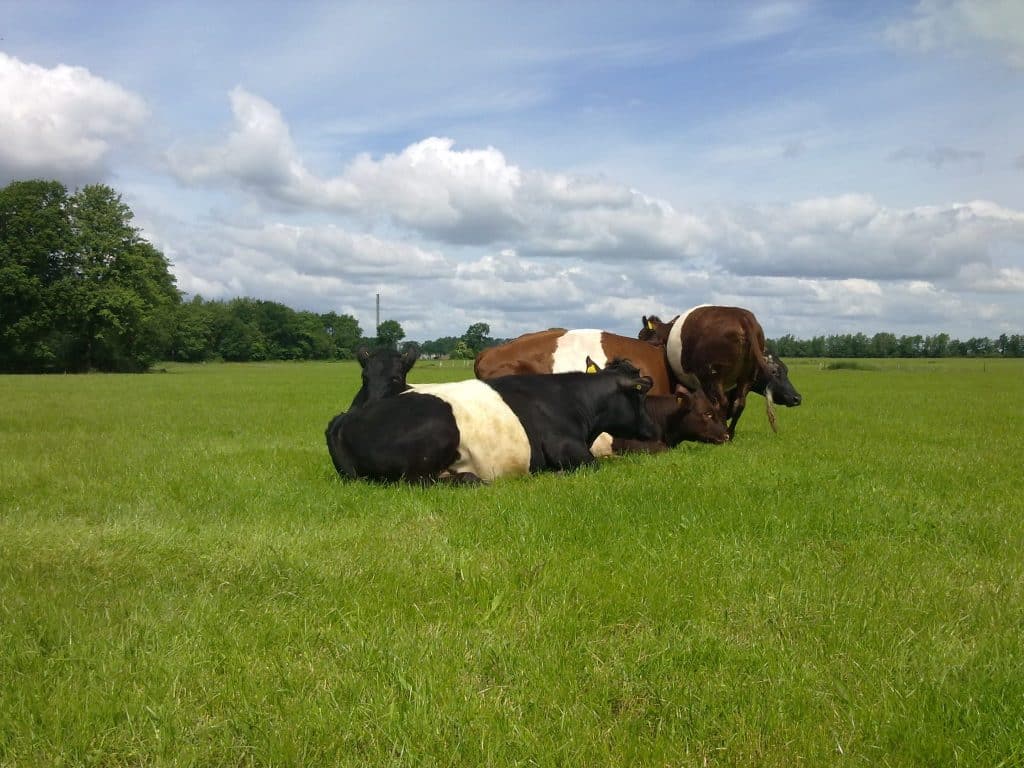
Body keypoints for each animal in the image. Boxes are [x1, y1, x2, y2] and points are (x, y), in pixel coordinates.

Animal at [638, 307, 798, 438]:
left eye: (641, 336)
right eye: (776, 371)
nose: (797, 398)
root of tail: (743, 318)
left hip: (713, 376)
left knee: (721, 403)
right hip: (745, 377)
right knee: (739, 403)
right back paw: (730, 434)